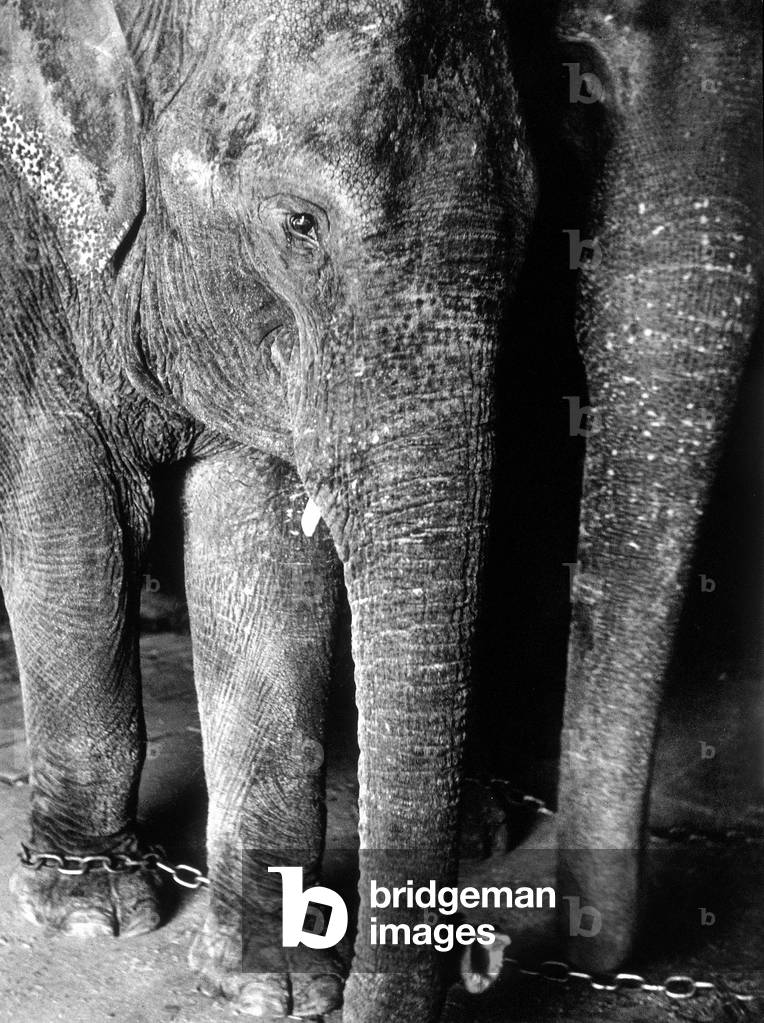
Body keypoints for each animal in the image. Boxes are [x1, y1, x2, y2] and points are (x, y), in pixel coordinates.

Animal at [0, 1, 760, 1022]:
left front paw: (273, 981)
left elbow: (259, 551)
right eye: (299, 222)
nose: (485, 957)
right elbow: (72, 518)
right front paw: (93, 908)